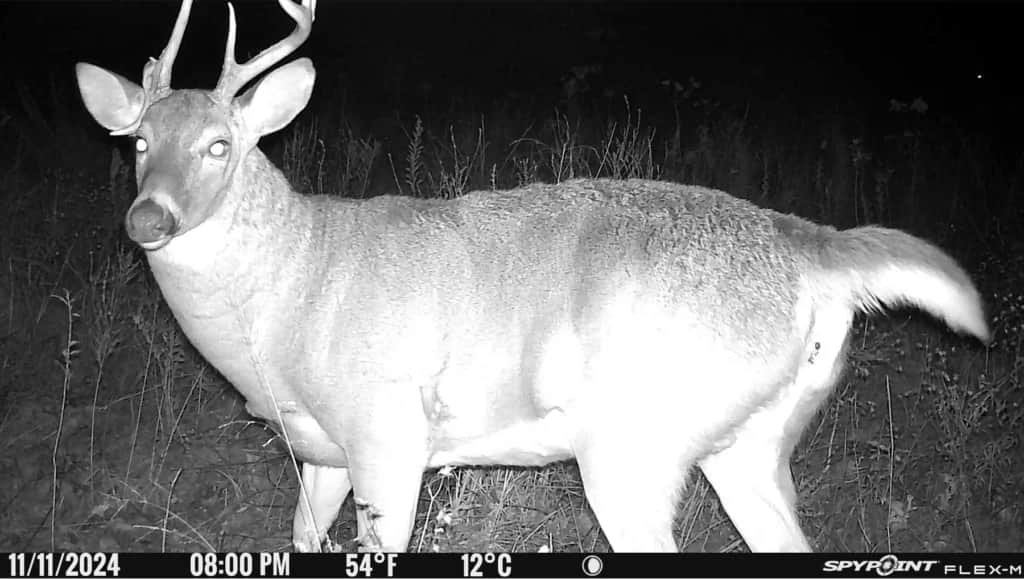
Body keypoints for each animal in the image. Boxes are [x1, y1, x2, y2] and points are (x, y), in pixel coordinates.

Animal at [75, 0, 989, 553]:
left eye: (220, 145)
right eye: (139, 142)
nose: (148, 220)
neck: (290, 294)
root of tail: (807, 244)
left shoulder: (388, 434)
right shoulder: (320, 452)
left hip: (632, 448)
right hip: (753, 443)